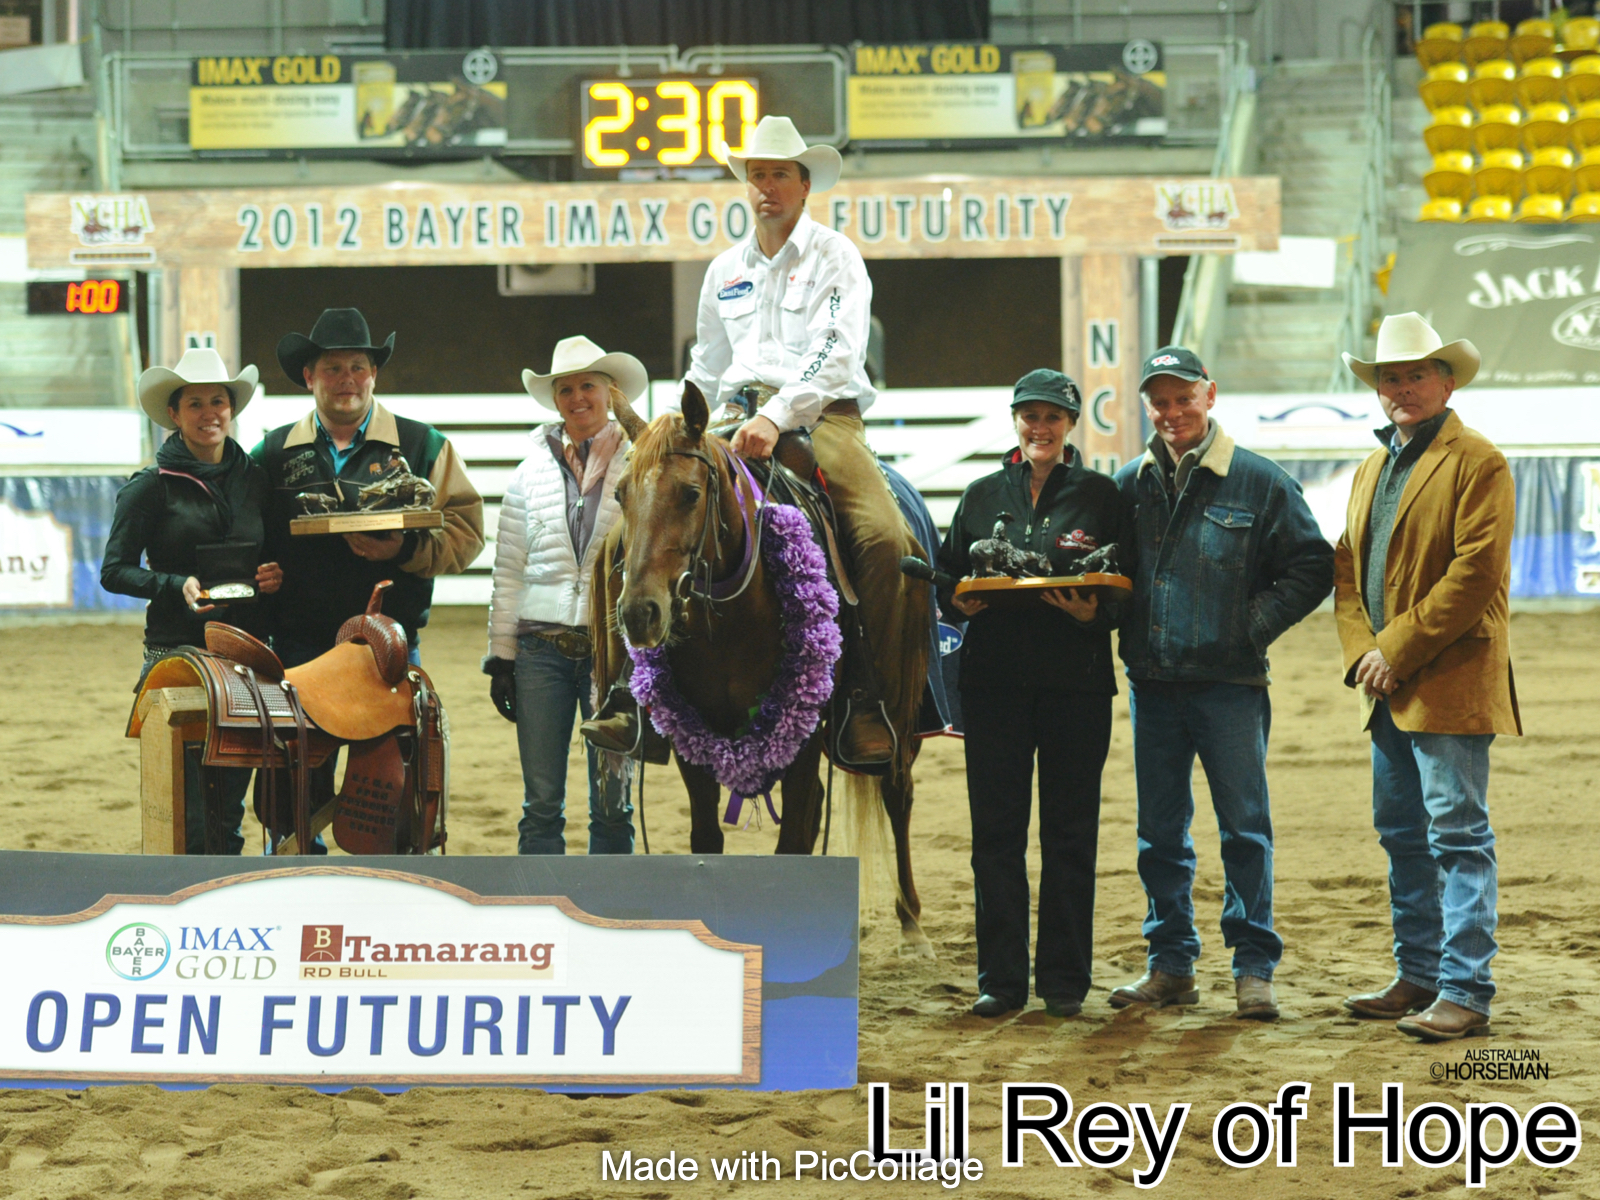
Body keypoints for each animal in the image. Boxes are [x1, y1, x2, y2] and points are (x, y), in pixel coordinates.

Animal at [609, 382, 934, 956]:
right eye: (621, 493)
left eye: (689, 493)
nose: (639, 613)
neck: (732, 617)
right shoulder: (691, 732)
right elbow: (706, 838)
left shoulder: (800, 735)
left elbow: (795, 841)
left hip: (903, 709)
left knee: (898, 792)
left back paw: (912, 924)